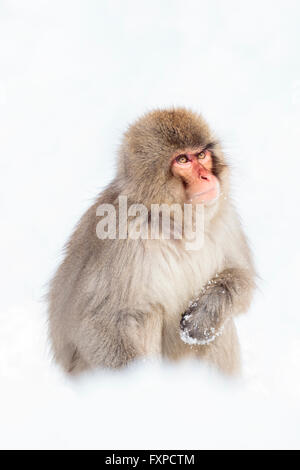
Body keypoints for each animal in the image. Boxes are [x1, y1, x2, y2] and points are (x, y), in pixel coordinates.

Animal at [48, 108, 254, 376]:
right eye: (183, 160)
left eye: (201, 154)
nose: (206, 176)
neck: (174, 223)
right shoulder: (120, 236)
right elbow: (99, 322)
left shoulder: (224, 215)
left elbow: (240, 275)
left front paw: (205, 315)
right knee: (144, 315)